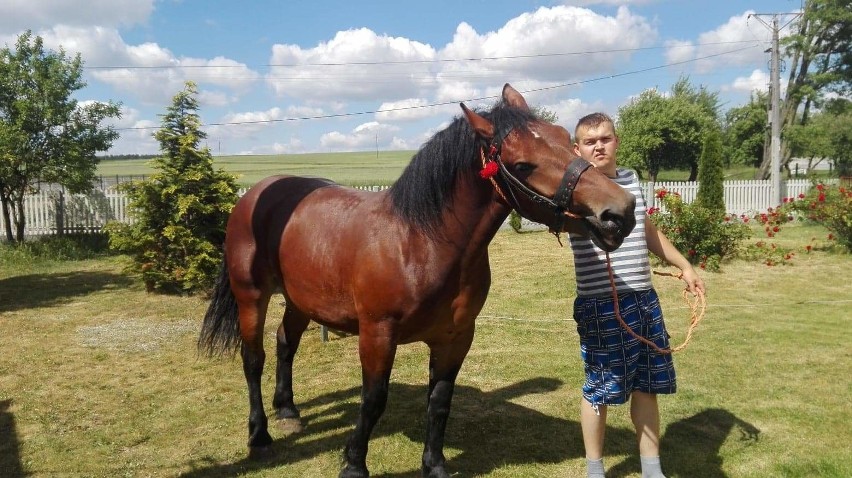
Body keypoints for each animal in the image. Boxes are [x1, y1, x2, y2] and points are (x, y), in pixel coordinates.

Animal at [200, 84, 636, 476]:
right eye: (522, 165)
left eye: (566, 139)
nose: (619, 212)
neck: (420, 242)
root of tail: (255, 195)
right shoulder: (377, 334)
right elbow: (373, 399)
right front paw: (354, 464)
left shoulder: (456, 337)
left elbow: (440, 400)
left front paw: (435, 465)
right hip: (251, 296)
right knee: (253, 359)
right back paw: (260, 437)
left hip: (300, 300)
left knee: (285, 343)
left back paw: (288, 410)